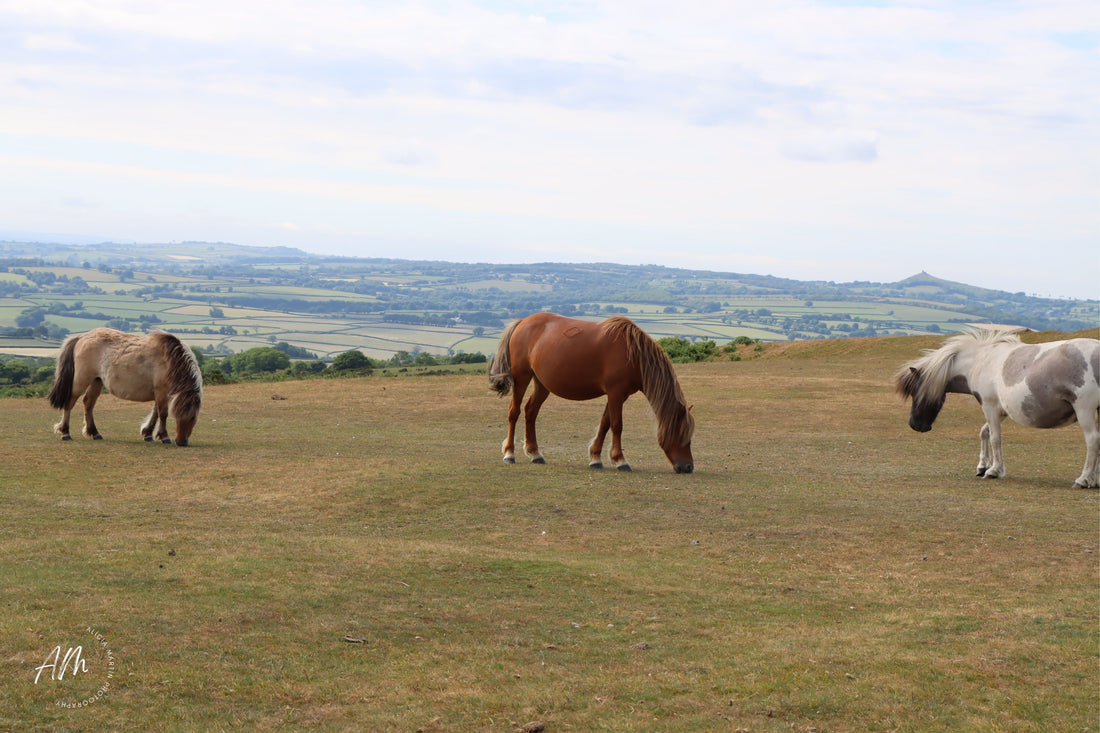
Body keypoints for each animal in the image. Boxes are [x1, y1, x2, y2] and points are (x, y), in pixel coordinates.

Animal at [47, 328, 204, 446]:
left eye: (193, 418)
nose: (182, 442)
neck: (169, 360)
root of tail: (81, 337)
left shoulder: (159, 392)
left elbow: (156, 413)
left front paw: (148, 433)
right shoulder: (161, 391)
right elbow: (163, 413)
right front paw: (164, 436)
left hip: (97, 381)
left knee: (88, 403)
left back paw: (95, 433)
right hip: (81, 380)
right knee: (70, 402)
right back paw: (65, 432)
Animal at [488, 313, 695, 473]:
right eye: (682, 434)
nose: (688, 467)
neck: (633, 354)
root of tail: (522, 322)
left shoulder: (618, 395)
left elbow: (605, 423)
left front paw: (596, 458)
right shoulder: (616, 393)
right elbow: (617, 425)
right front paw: (620, 460)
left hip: (542, 384)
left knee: (531, 411)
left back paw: (535, 453)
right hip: (521, 378)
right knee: (514, 412)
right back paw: (509, 453)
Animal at [894, 330, 1100, 488]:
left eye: (915, 391)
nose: (915, 425)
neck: (980, 360)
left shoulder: (989, 406)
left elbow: (995, 438)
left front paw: (993, 470)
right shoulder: (1000, 410)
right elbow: (984, 432)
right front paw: (982, 466)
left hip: (1084, 410)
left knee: (1092, 440)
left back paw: (1083, 480)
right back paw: (1094, 480)